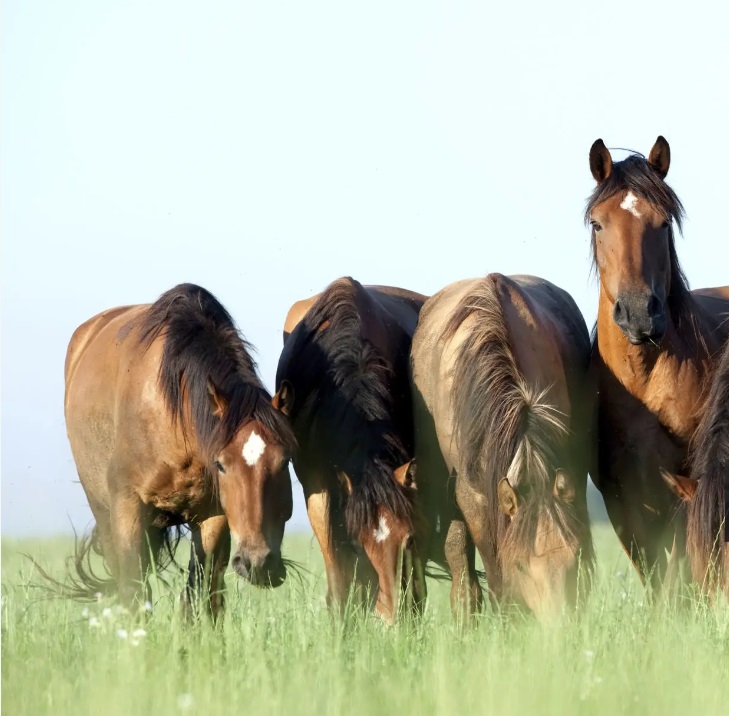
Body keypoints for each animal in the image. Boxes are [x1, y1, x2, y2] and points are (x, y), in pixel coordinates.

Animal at [61, 282, 296, 620]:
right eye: (221, 464)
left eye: (285, 460)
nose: (258, 563)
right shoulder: (128, 506)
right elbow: (133, 590)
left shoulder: (213, 516)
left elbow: (201, 593)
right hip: (104, 512)